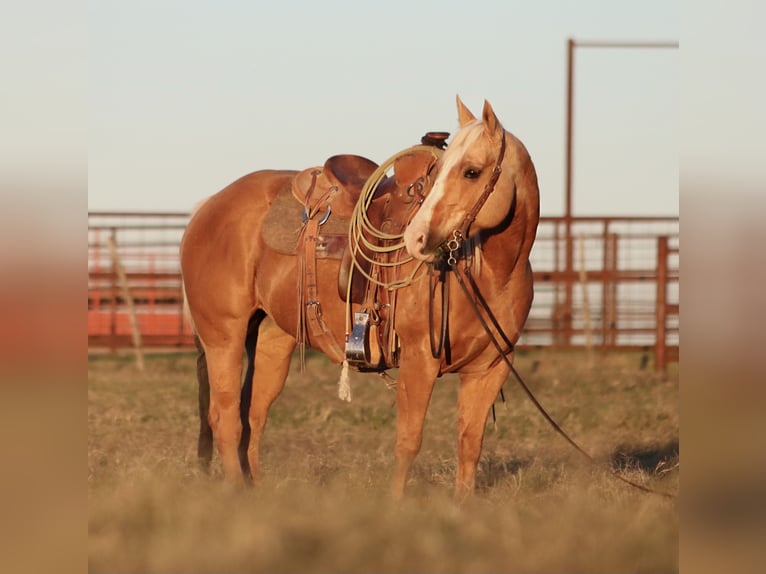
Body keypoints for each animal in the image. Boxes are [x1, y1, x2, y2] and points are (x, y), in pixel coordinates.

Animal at [182, 97, 540, 498]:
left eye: (471, 172)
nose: (416, 238)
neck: (490, 273)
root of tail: (209, 206)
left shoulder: (490, 369)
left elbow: (470, 444)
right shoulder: (419, 359)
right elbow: (409, 441)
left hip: (271, 339)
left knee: (253, 417)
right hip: (223, 338)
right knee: (225, 418)